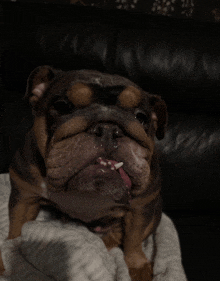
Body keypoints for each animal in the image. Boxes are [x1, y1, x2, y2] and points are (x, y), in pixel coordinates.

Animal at [0, 65, 166, 278]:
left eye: (141, 117)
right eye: (63, 106)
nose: (108, 128)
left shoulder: (142, 206)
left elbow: (134, 240)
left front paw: (137, 267)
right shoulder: (25, 195)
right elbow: (17, 226)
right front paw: (9, 252)